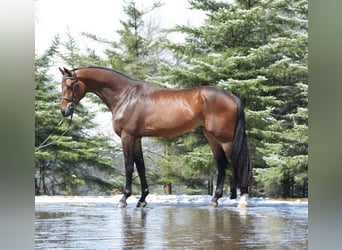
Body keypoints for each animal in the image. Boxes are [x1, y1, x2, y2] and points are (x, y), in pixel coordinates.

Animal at [58, 66, 251, 207]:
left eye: (70, 86)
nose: (64, 111)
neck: (125, 96)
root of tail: (232, 96)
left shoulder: (127, 137)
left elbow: (129, 166)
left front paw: (124, 199)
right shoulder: (137, 138)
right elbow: (141, 167)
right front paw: (142, 200)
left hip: (226, 140)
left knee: (237, 162)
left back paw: (242, 199)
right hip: (211, 136)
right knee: (222, 164)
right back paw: (215, 200)